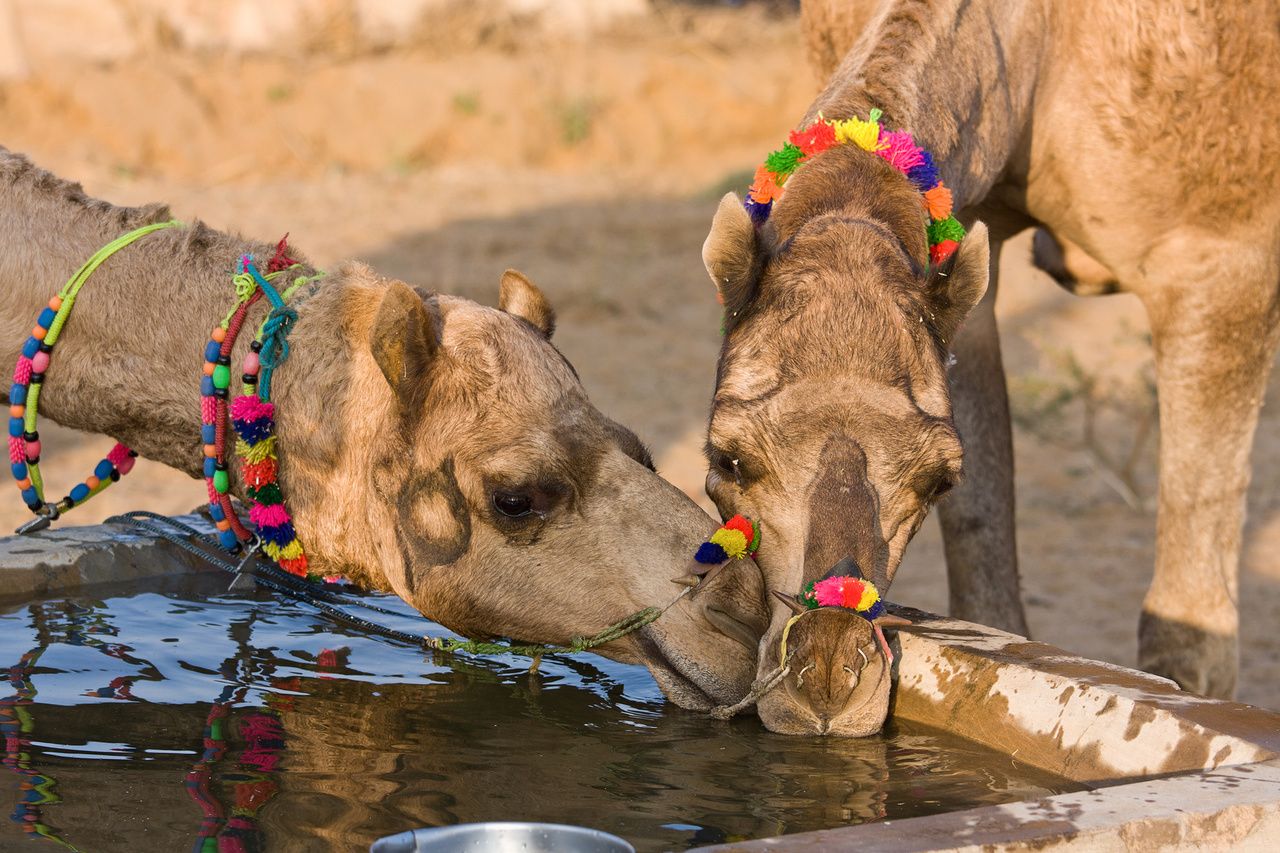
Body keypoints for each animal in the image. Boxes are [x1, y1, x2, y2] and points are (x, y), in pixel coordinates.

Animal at [706, 0, 1274, 696]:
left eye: (936, 478)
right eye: (727, 460)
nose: (829, 671)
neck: (1043, 42)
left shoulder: (1219, 263)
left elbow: (1190, 638)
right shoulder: (971, 247)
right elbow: (984, 575)